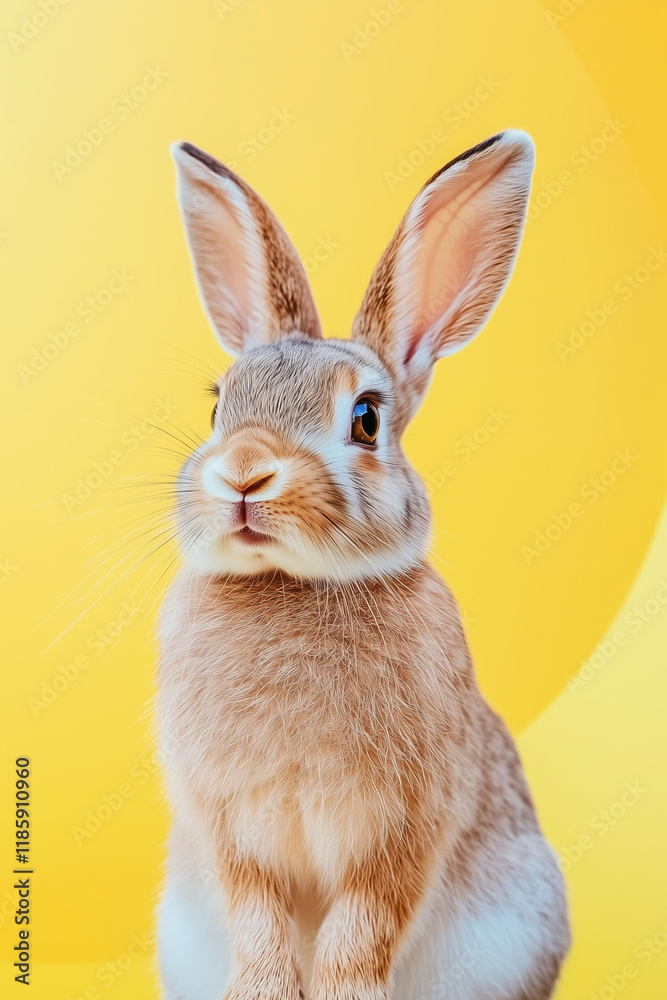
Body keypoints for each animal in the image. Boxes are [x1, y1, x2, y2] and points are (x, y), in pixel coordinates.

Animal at [157, 131, 570, 1000]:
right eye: (218, 406)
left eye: (366, 419)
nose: (243, 473)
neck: (292, 585)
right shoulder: (227, 830)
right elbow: (259, 920)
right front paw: (261, 993)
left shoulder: (405, 828)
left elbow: (361, 929)